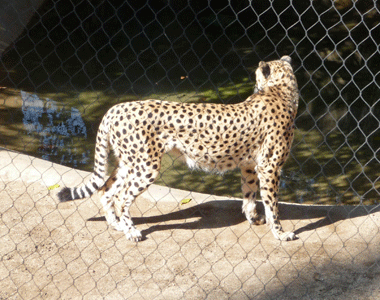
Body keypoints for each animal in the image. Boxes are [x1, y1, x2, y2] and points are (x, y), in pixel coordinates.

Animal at [58, 55, 298, 241]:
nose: (255, 86)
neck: (281, 92)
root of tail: (117, 107)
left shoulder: (250, 165)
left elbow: (249, 193)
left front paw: (254, 218)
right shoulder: (269, 167)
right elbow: (272, 203)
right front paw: (280, 233)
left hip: (129, 163)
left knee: (106, 190)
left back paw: (118, 225)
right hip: (146, 166)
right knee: (121, 197)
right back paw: (131, 232)